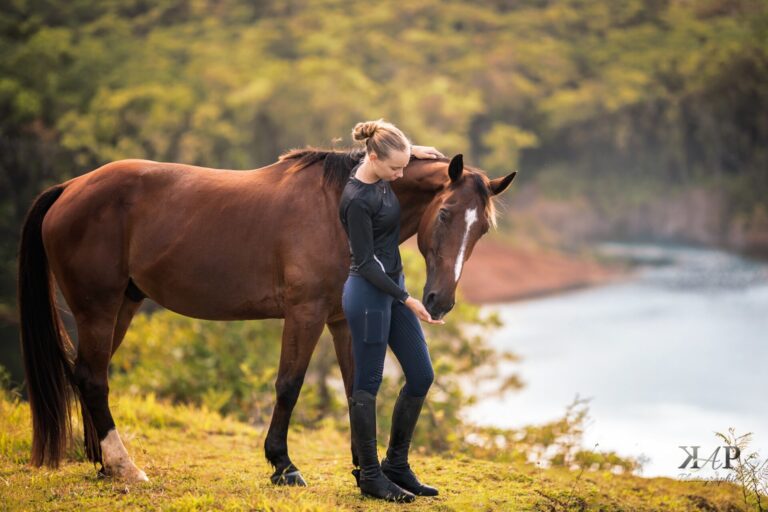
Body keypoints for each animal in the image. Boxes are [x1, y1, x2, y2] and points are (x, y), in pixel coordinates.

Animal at [18, 147, 520, 484]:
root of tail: (69, 189)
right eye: (447, 213)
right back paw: (124, 465)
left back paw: (103, 462)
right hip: (99, 309)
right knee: (93, 379)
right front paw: (283, 465)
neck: (339, 206)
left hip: (122, 305)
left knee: (88, 374)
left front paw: (364, 471)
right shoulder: (305, 314)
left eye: (482, 228)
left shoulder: (341, 320)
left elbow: (355, 390)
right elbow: (288, 386)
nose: (438, 301)